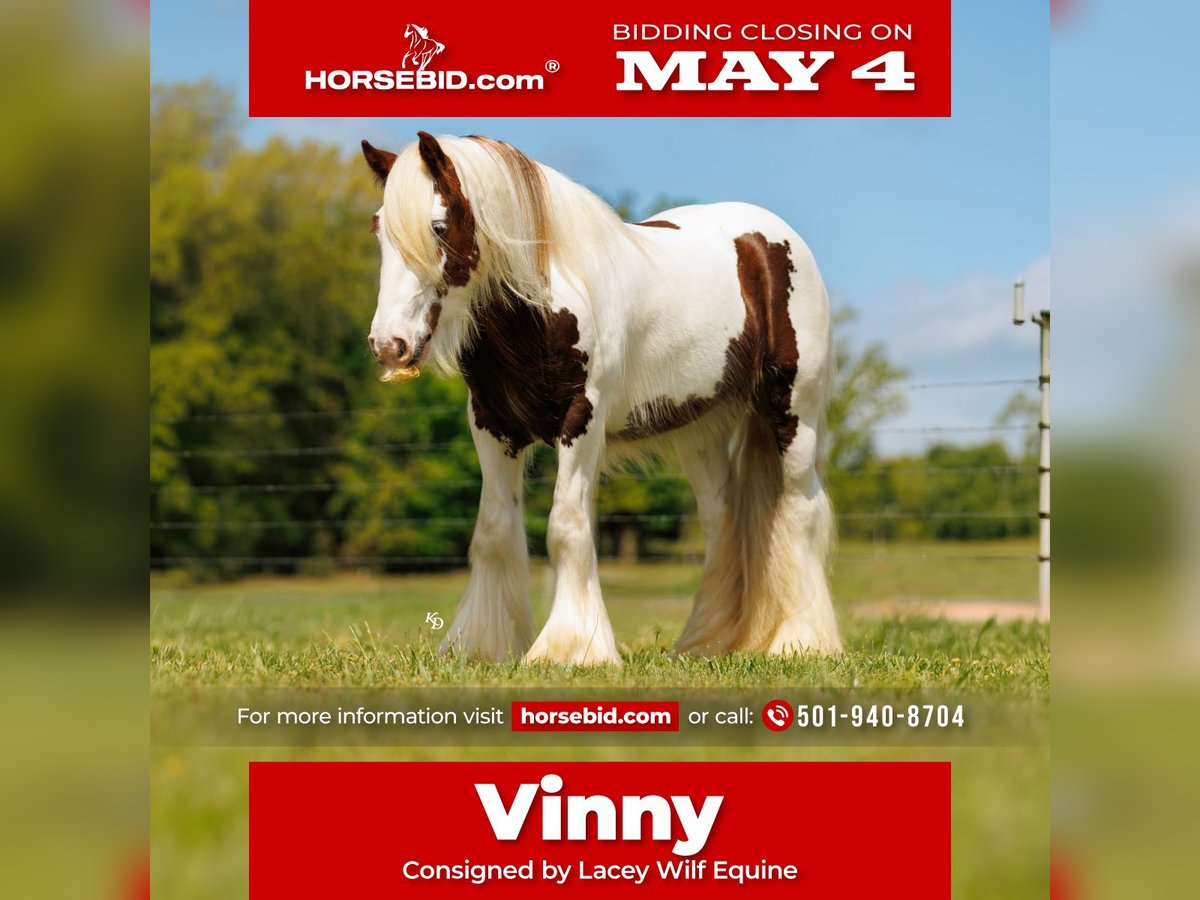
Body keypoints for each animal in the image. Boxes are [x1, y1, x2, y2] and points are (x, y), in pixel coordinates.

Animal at [360, 133, 842, 665]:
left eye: (438, 227)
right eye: (379, 230)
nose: (389, 345)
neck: (543, 304)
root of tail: (770, 239)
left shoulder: (581, 421)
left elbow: (566, 527)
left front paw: (569, 649)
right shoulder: (492, 425)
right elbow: (493, 532)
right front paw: (482, 647)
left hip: (793, 414)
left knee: (799, 512)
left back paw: (801, 641)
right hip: (701, 432)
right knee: (723, 524)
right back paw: (706, 644)